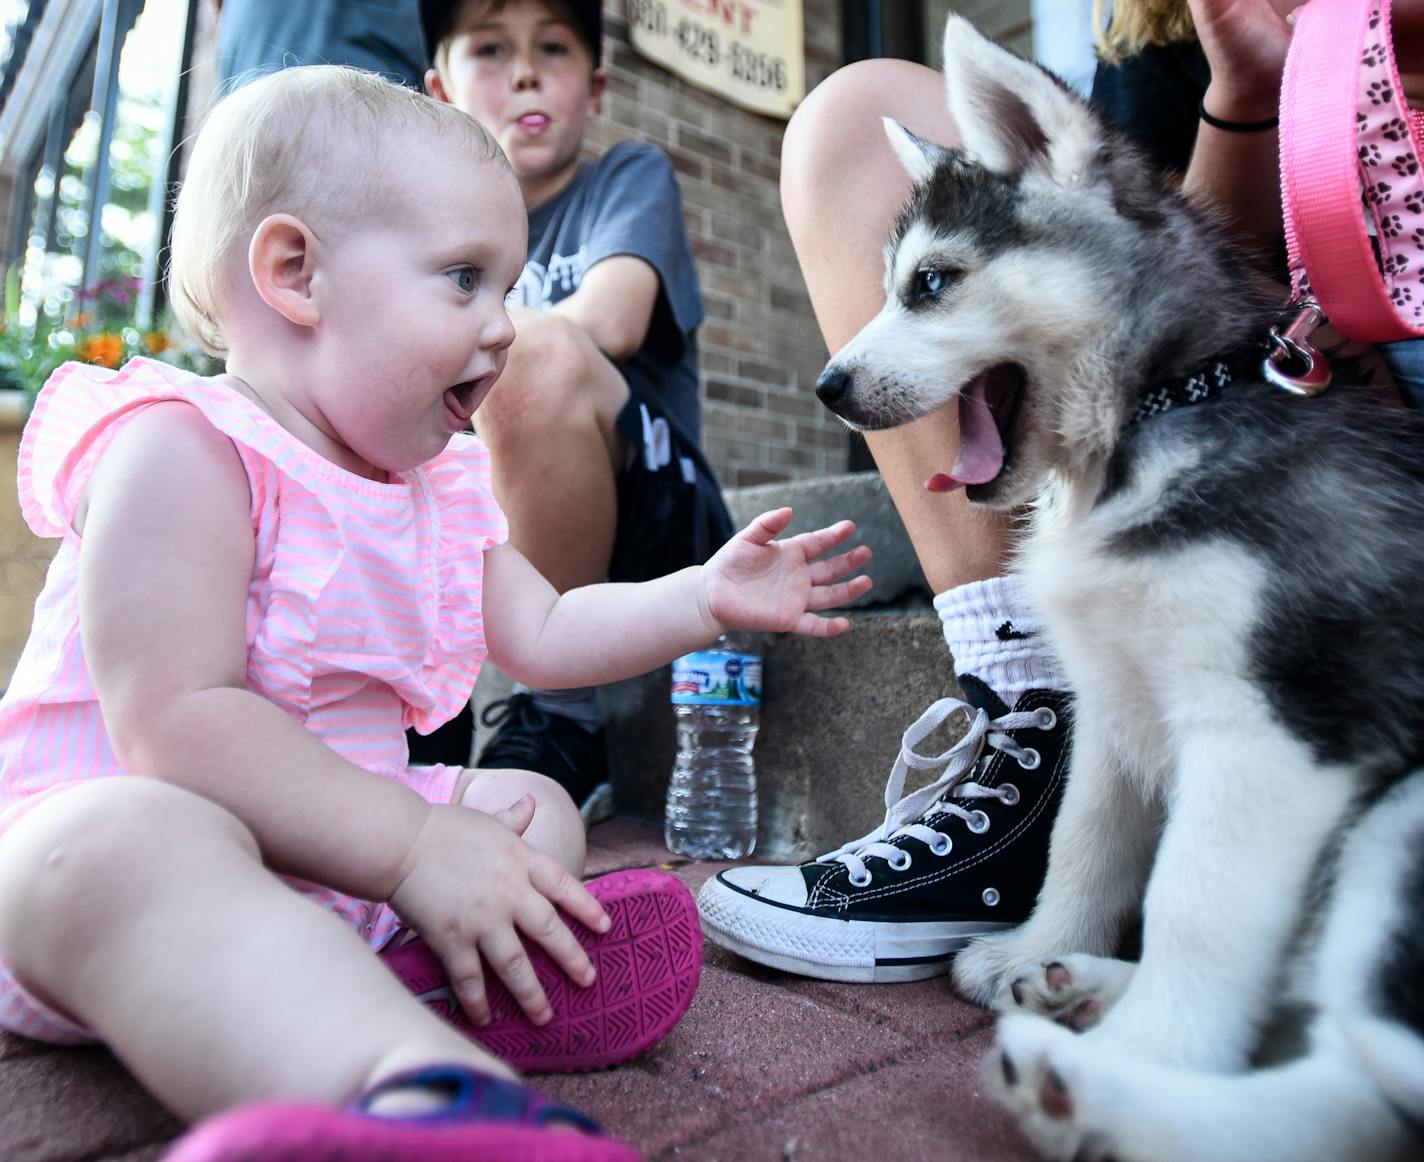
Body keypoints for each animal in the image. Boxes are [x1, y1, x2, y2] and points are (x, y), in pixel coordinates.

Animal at [820, 11, 1424, 1162]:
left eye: (931, 284)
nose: (826, 387)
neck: (1158, 410)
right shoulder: (1111, 699)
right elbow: (1084, 843)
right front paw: (1039, 946)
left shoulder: (1271, 728)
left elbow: (1197, 903)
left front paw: (1158, 1042)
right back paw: (1076, 1009)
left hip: (1397, 821)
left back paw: (1105, 1078)